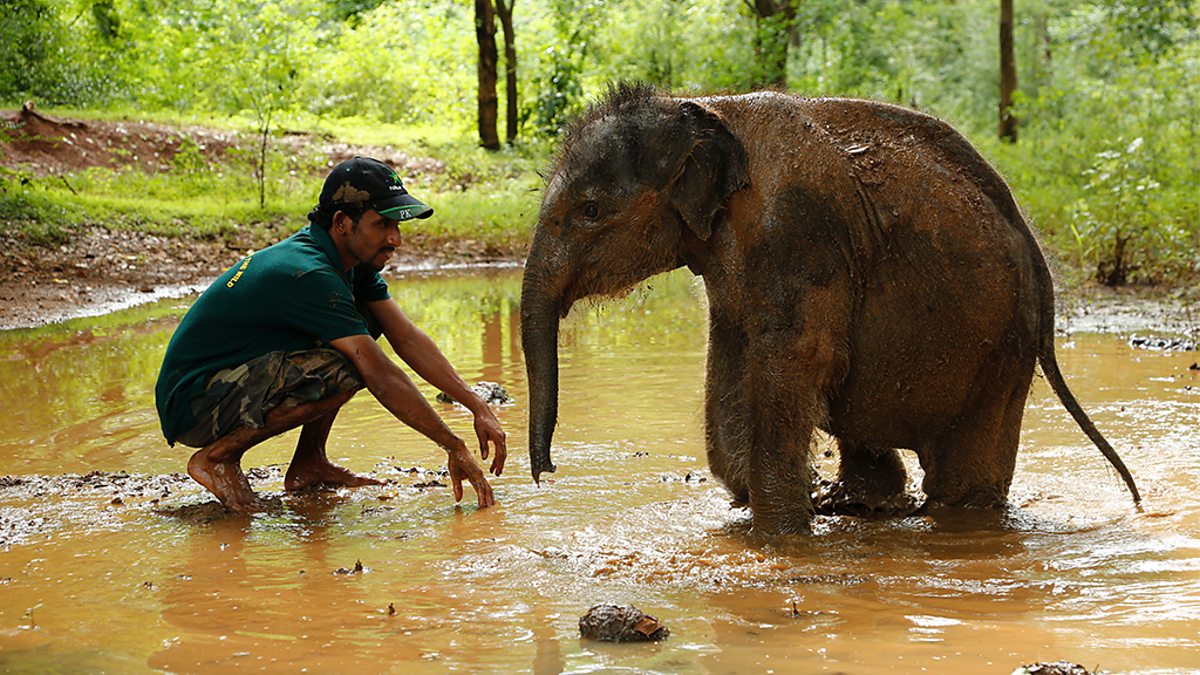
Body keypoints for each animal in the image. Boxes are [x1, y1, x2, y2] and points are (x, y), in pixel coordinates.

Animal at [520, 84, 1137, 533]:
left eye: (591, 210)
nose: (547, 472)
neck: (700, 106)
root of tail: (1036, 255)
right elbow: (733, 358)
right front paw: (791, 500)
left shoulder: (798, 234)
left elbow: (797, 358)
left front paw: (783, 531)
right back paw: (860, 502)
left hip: (1001, 343)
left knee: (961, 478)